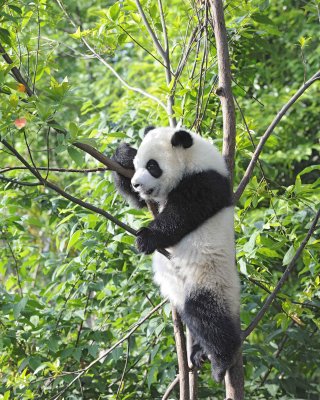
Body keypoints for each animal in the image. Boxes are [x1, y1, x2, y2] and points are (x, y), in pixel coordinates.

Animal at [112, 127, 240, 382]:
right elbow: (140, 202)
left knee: (206, 313)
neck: (193, 159)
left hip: (210, 277)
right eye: (138, 164)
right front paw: (122, 154)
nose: (137, 183)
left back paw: (221, 360)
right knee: (193, 320)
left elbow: (181, 214)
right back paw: (199, 352)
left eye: (153, 166)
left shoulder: (206, 181)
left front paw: (146, 238)